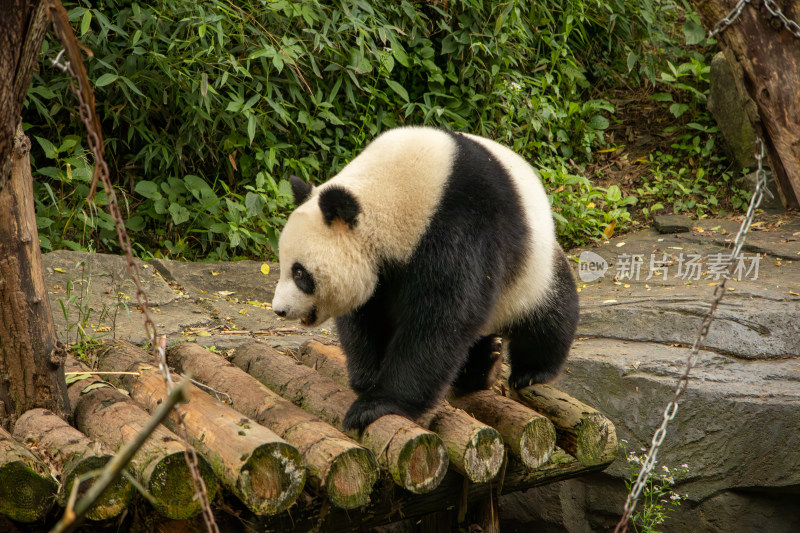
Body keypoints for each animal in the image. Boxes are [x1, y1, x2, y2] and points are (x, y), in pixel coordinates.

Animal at [272, 127, 580, 430]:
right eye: (284, 265)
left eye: (299, 273)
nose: (280, 310)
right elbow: (365, 317)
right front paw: (367, 378)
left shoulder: (460, 227)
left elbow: (441, 321)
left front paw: (377, 404)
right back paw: (482, 363)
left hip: (533, 270)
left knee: (549, 312)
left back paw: (531, 370)